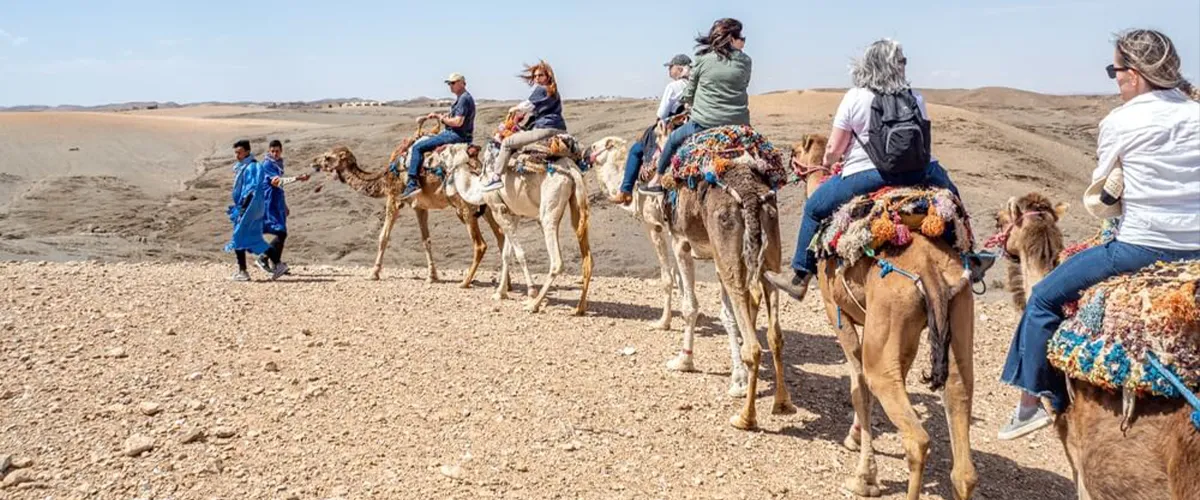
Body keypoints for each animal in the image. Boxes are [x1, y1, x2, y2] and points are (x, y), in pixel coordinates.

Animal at [308, 118, 506, 285]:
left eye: (327, 157)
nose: (313, 161)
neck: (385, 176)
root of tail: (478, 166)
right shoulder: (419, 206)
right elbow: (426, 240)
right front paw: (432, 276)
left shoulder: (394, 197)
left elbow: (383, 236)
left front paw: (374, 273)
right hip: (486, 204)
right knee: (501, 237)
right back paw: (507, 285)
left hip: (463, 205)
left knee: (481, 244)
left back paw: (465, 282)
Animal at [453, 129, 593, 315]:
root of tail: (573, 169)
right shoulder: (513, 214)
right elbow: (506, 254)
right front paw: (500, 293)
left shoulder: (498, 210)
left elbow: (519, 254)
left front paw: (531, 291)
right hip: (577, 205)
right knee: (587, 258)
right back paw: (580, 308)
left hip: (548, 211)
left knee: (557, 261)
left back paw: (534, 304)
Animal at [790, 135, 977, 500]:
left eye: (797, 150)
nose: (787, 157)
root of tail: (930, 271)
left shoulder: (837, 313)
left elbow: (859, 386)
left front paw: (865, 476)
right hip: (958, 309)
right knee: (960, 414)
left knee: (915, 435)